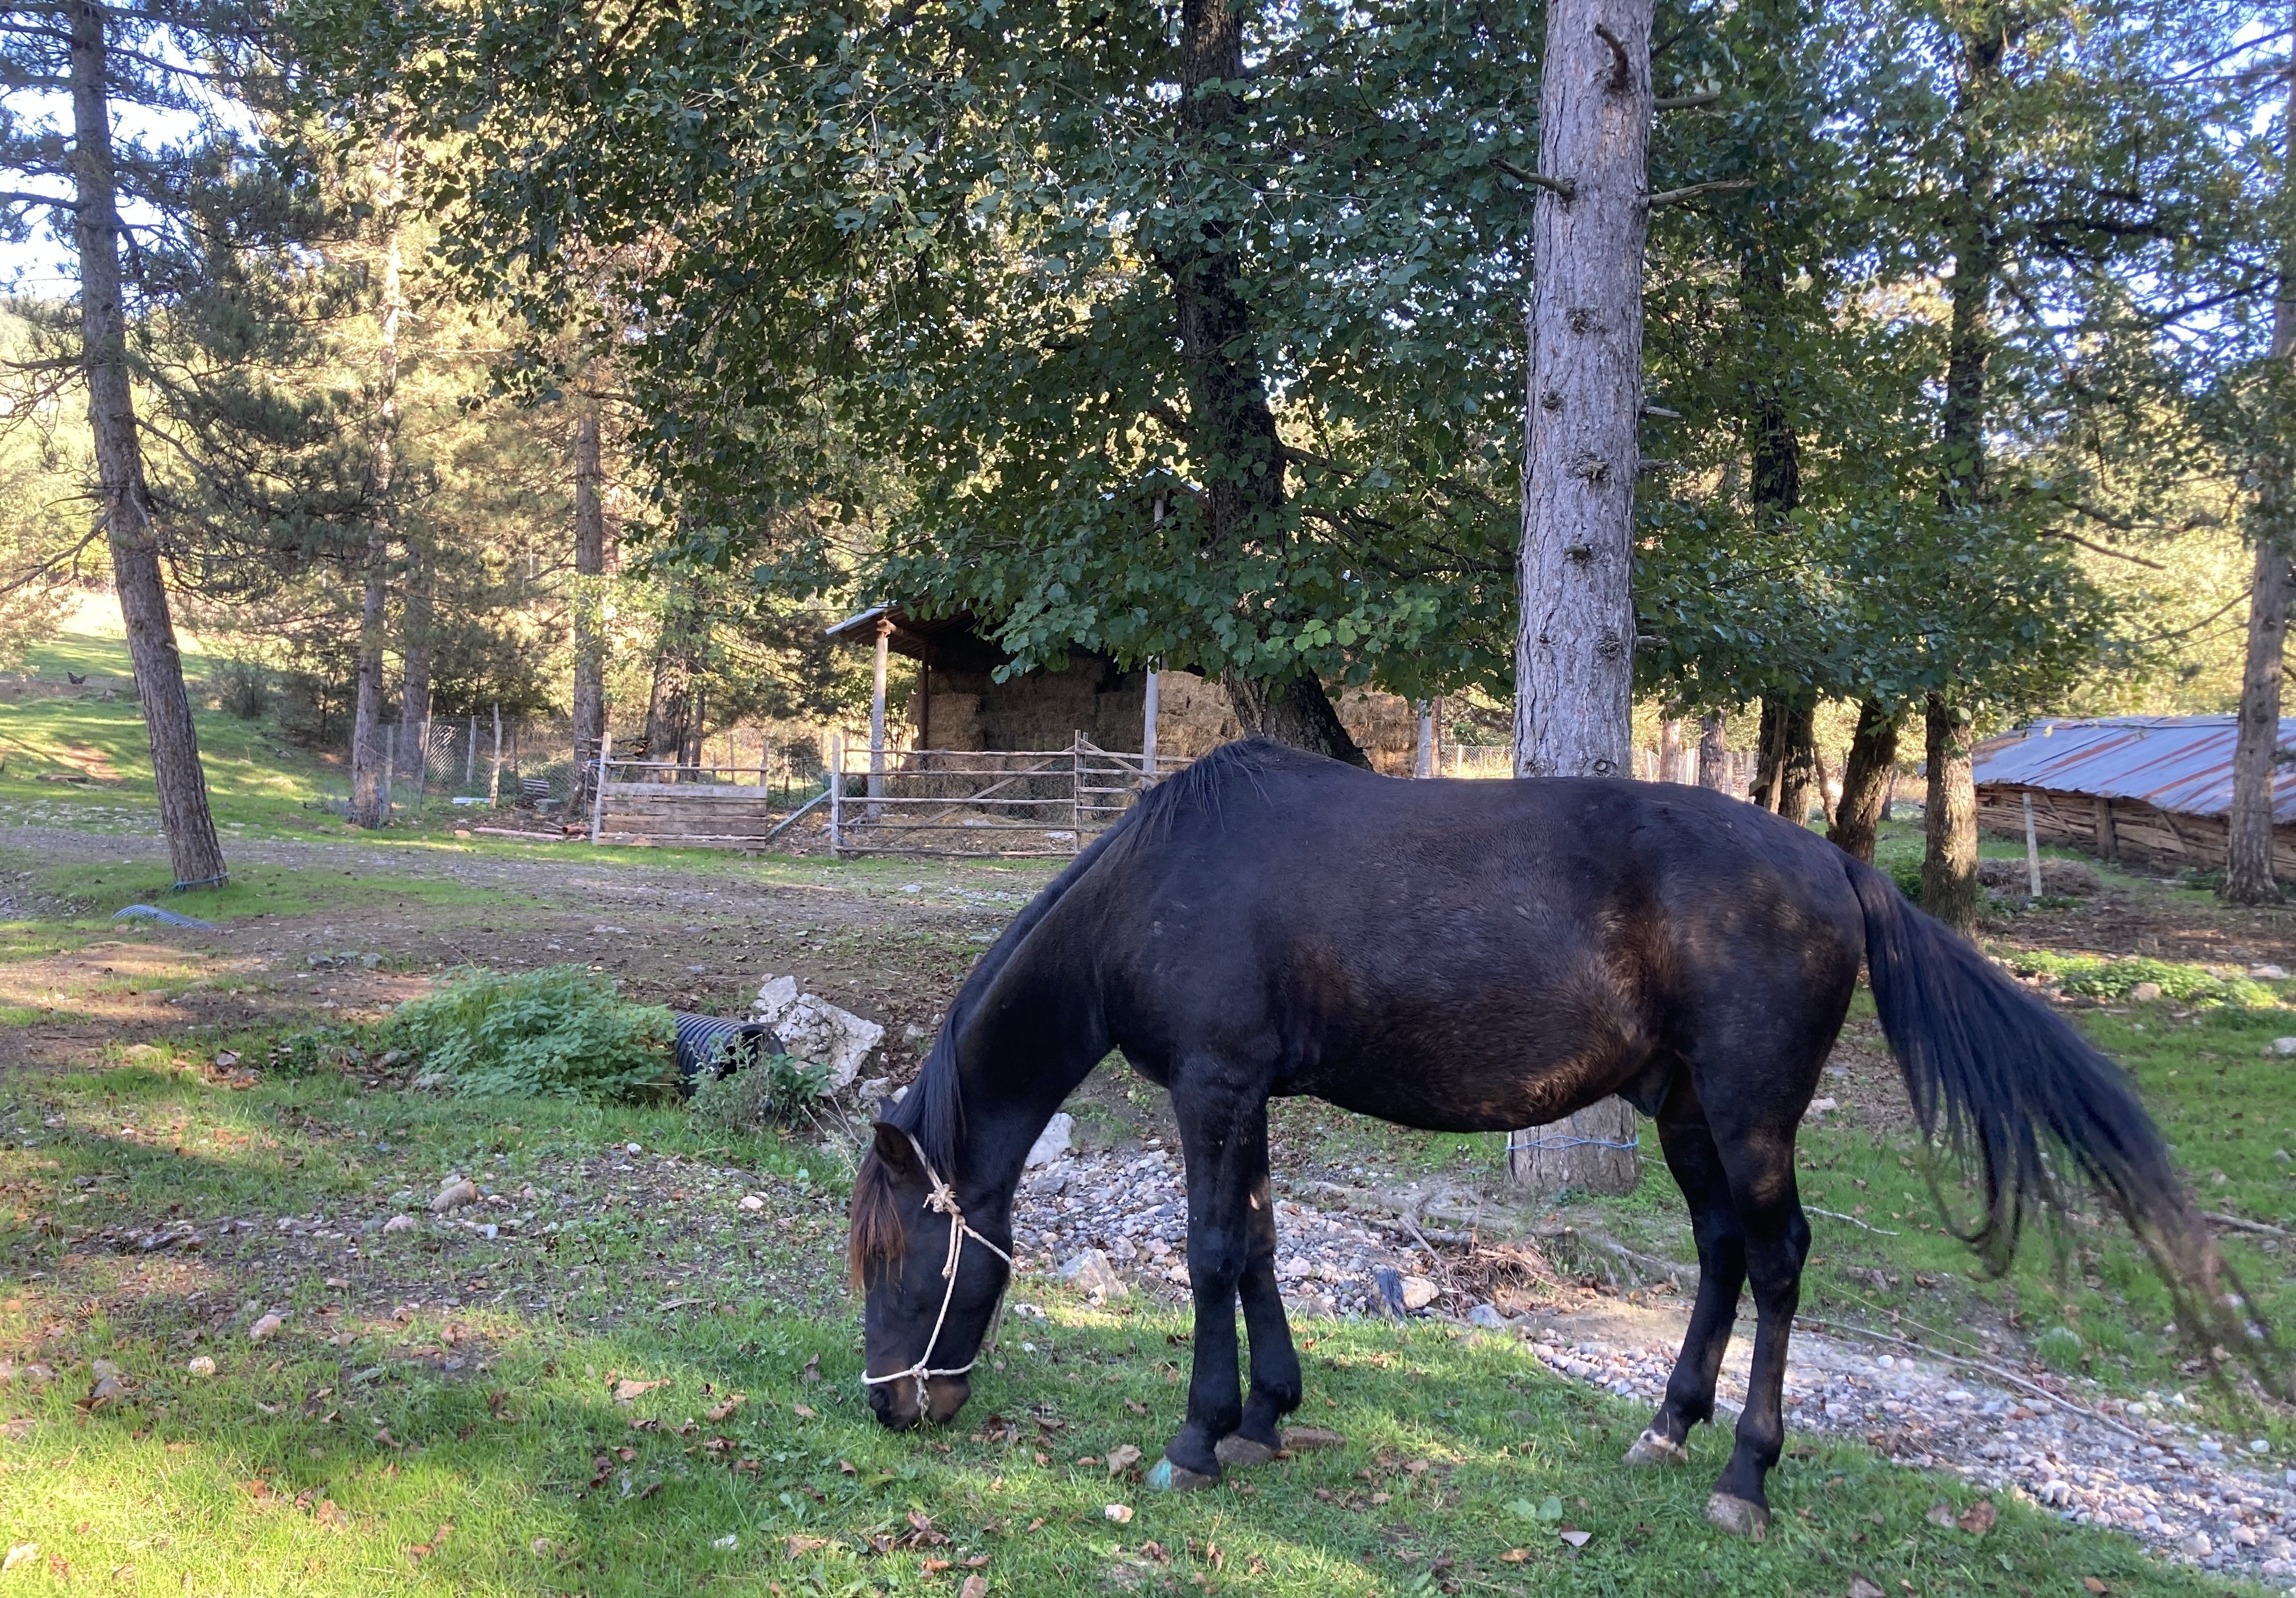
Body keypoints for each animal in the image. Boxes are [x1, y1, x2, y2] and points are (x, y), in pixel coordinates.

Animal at [854, 744, 2213, 1543]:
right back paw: (1670, 1426)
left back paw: (1744, 1475)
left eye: (902, 1260)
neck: (1160, 885)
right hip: (1684, 1110)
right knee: (1721, 1251)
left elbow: (1209, 1255)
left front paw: (1199, 1437)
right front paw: (1265, 1414)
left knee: (1777, 1263)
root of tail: (1833, 867)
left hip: (1749, 1112)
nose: (895, 1408)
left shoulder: (1215, 1088)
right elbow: (1259, 1247)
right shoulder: (1245, 1096)